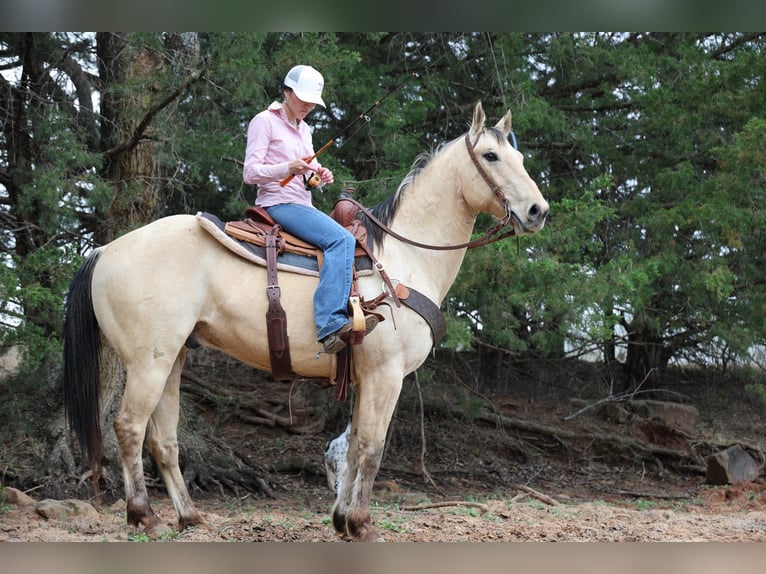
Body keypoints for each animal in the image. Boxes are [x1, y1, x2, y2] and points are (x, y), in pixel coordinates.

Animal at [62, 101, 549, 541]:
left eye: (523, 158)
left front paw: (342, 521)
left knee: (163, 439)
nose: (537, 211)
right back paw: (143, 515)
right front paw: (361, 524)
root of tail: (104, 250)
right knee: (129, 427)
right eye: (491, 156)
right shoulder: (386, 375)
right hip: (148, 362)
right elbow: (371, 449)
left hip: (173, 358)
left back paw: (190, 517)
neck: (402, 258)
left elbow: (352, 447)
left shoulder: (365, 378)